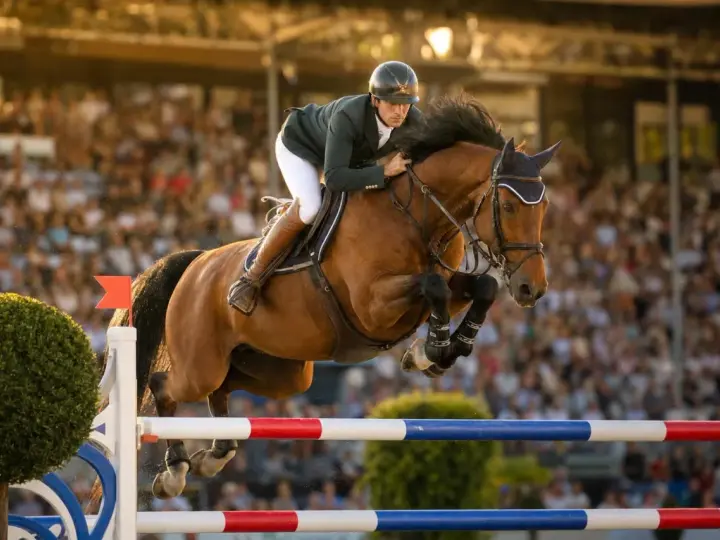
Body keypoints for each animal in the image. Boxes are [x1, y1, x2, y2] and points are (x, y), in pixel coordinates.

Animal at [98, 93, 559, 502]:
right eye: (509, 206)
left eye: (544, 208)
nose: (532, 289)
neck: (415, 214)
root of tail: (195, 262)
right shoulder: (373, 305)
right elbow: (434, 287)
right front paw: (433, 350)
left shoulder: (441, 281)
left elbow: (479, 287)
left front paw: (439, 351)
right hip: (201, 362)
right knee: (166, 386)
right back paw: (175, 471)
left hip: (280, 372)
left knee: (222, 389)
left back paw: (215, 454)